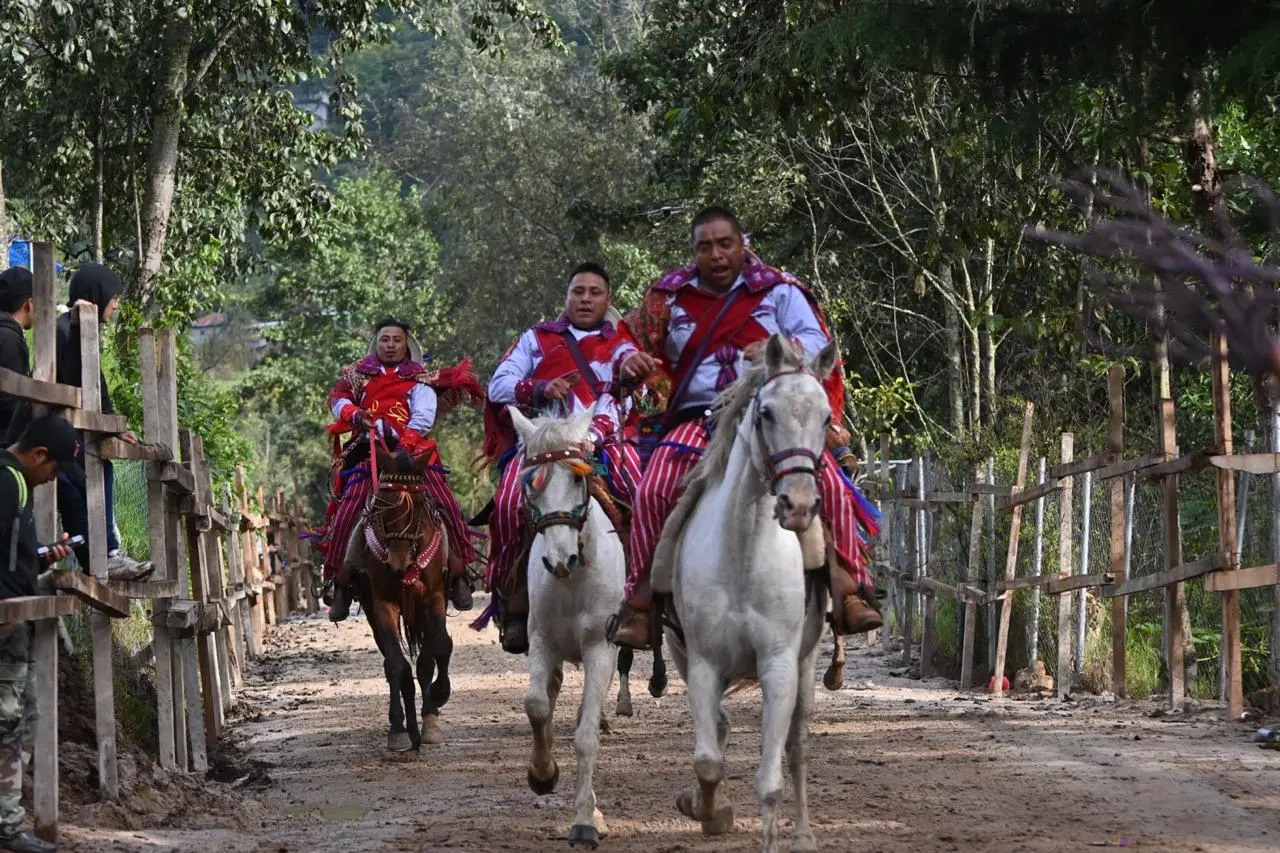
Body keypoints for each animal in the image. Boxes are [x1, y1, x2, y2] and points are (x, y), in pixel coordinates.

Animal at [350, 445, 455, 753]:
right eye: (383, 503)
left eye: (419, 503)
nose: (400, 564)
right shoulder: (384, 605)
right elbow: (396, 665)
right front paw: (398, 729)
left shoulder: (434, 597)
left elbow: (439, 648)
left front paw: (438, 697)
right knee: (397, 666)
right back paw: (406, 729)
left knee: (424, 661)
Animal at [509, 402, 629, 845]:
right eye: (531, 485)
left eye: (578, 480)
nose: (560, 560)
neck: (573, 580)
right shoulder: (541, 640)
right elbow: (536, 705)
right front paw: (542, 774)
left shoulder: (600, 648)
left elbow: (586, 733)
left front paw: (584, 820)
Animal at [650, 333, 839, 850]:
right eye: (766, 413)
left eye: (826, 417)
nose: (798, 505)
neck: (743, 555)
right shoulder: (702, 663)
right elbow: (708, 760)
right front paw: (709, 812)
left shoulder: (779, 666)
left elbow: (770, 780)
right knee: (718, 728)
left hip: (807, 664)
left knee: (797, 746)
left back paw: (804, 835)